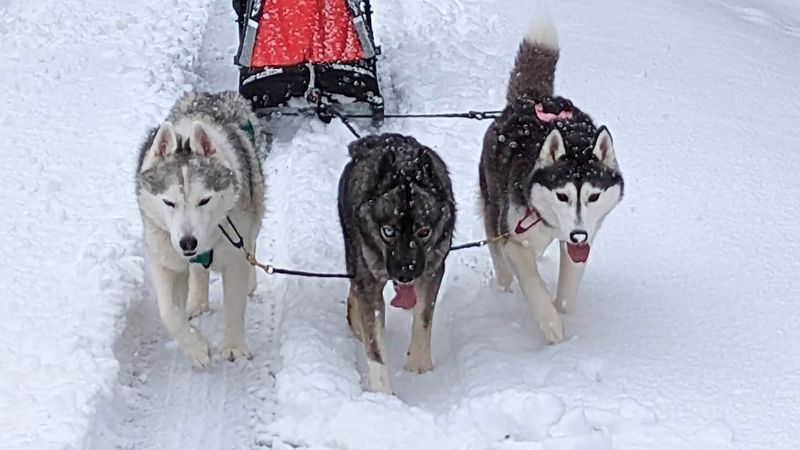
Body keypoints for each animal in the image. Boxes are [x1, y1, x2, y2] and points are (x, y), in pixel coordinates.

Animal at [336, 134, 454, 394]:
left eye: (424, 231)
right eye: (388, 231)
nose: (405, 274)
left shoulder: (432, 271)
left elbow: (424, 318)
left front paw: (418, 366)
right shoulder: (369, 283)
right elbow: (375, 346)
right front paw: (382, 394)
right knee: (354, 290)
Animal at [478, 16, 620, 342]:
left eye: (593, 196)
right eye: (562, 196)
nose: (578, 235)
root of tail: (532, 98)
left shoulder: (584, 237)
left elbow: (567, 291)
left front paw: (562, 312)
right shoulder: (516, 239)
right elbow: (532, 282)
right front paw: (550, 324)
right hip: (493, 199)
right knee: (496, 246)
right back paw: (504, 283)